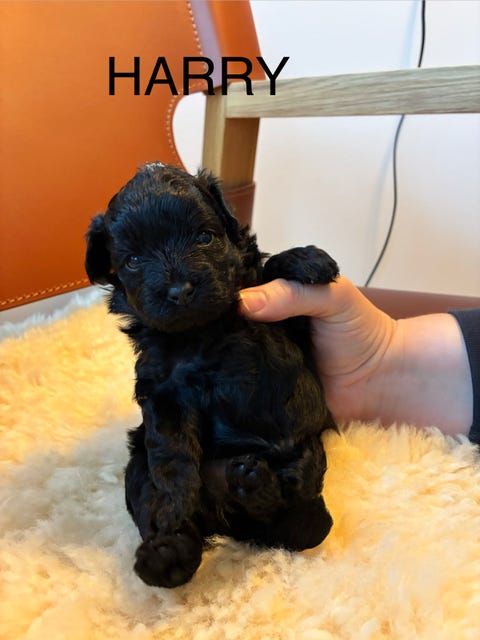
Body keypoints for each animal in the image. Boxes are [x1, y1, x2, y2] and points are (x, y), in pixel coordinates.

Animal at [85, 163, 339, 588]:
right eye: (133, 260)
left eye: (204, 237)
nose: (179, 290)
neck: (206, 330)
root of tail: (227, 521)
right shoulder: (161, 387)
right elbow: (171, 452)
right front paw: (175, 504)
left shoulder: (296, 331)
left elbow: (268, 275)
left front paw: (307, 259)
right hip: (137, 469)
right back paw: (167, 557)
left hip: (306, 486)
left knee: (302, 521)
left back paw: (261, 480)